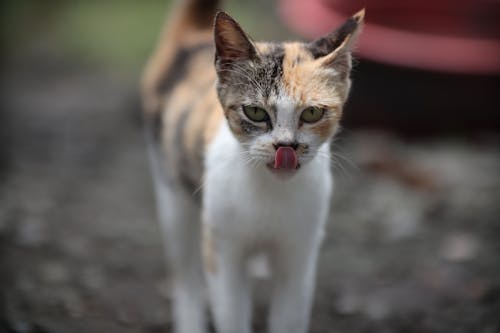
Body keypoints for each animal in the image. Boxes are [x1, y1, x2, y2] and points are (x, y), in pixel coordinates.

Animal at [141, 1, 364, 330]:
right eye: (255, 112)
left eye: (312, 113)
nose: (286, 147)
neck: (270, 192)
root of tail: (193, 38)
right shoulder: (223, 252)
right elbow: (231, 313)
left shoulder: (300, 254)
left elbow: (288, 317)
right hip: (171, 190)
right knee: (185, 275)